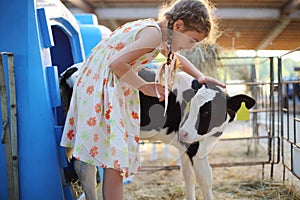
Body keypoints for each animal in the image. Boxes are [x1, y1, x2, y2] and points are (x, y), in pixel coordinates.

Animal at [60, 66, 255, 200]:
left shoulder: (184, 146)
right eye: (193, 107)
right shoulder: (195, 147)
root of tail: (73, 69)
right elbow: (205, 179)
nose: (183, 132)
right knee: (84, 168)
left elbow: (188, 176)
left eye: (207, 112)